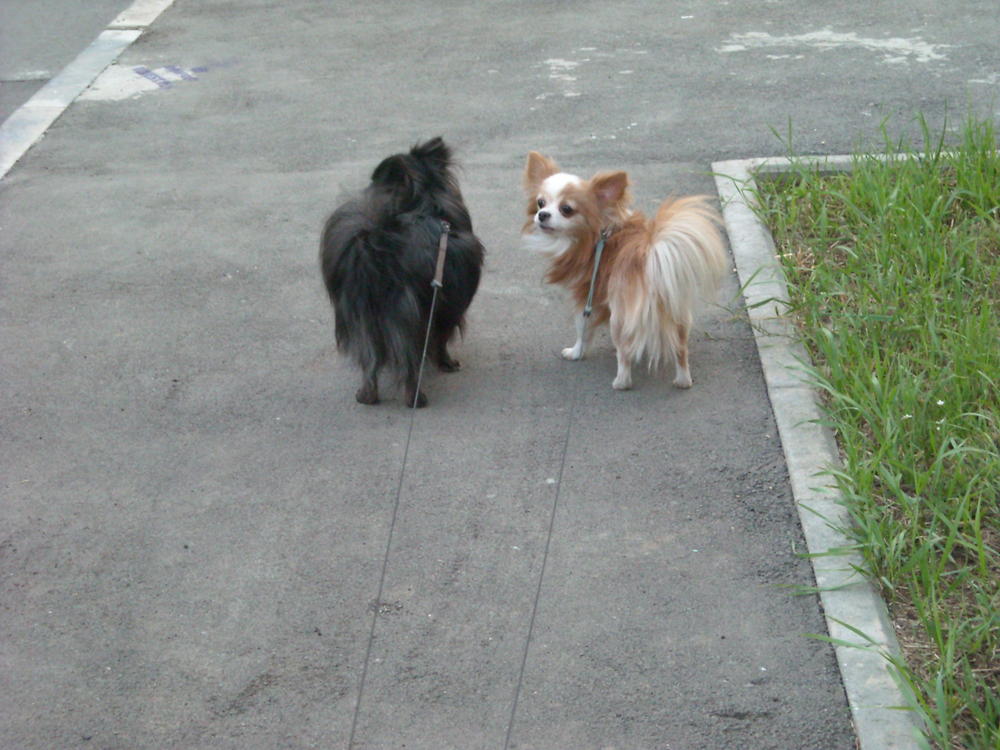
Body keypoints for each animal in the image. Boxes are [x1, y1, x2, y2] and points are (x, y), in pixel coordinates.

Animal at [320, 137, 484, 407]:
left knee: (369, 360)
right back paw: (415, 398)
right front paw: (447, 363)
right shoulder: (447, 309)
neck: (427, 201)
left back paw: (367, 395)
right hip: (408, 315)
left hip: (359, 314)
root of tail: (375, 245)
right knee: (408, 361)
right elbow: (441, 340)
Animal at [521, 151, 727, 391]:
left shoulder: (586, 297)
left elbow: (583, 330)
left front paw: (575, 353)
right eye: (540, 203)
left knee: (625, 354)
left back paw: (620, 382)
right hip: (678, 312)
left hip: (619, 319)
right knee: (681, 350)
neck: (598, 234)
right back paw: (683, 381)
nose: (542, 215)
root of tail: (649, 254)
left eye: (566, 210)